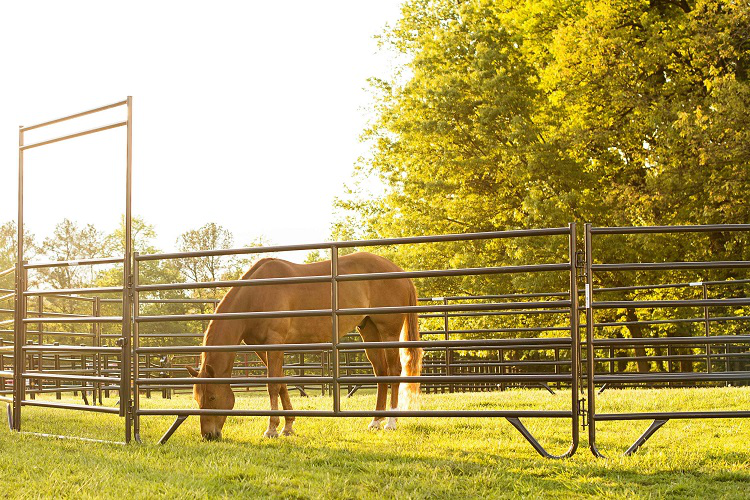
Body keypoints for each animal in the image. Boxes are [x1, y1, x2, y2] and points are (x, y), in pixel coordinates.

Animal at [186, 252, 426, 440]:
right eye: (197, 398)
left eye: (212, 397)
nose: (208, 435)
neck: (257, 294)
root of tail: (399, 272)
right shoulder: (262, 347)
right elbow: (282, 382)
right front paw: (288, 426)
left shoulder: (274, 343)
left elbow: (273, 385)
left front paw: (271, 429)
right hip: (370, 332)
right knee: (381, 373)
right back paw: (376, 421)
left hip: (389, 332)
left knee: (393, 371)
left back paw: (391, 423)